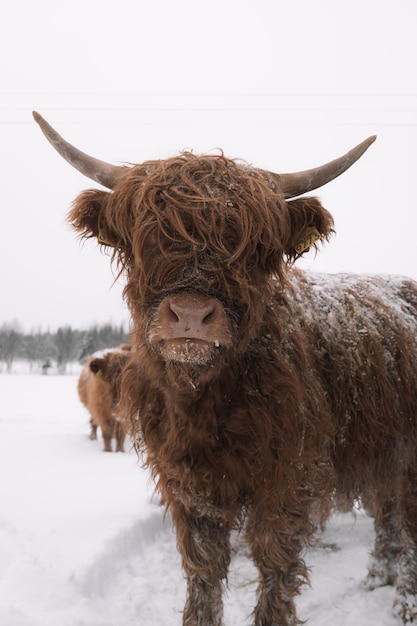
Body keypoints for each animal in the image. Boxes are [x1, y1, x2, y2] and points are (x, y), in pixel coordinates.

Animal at [33, 112, 416, 624]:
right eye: (145, 237)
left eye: (253, 248)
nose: (191, 314)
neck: (206, 403)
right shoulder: (190, 486)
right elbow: (203, 573)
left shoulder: (288, 481)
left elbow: (275, 570)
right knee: (389, 516)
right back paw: (379, 577)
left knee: (405, 524)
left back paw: (403, 600)